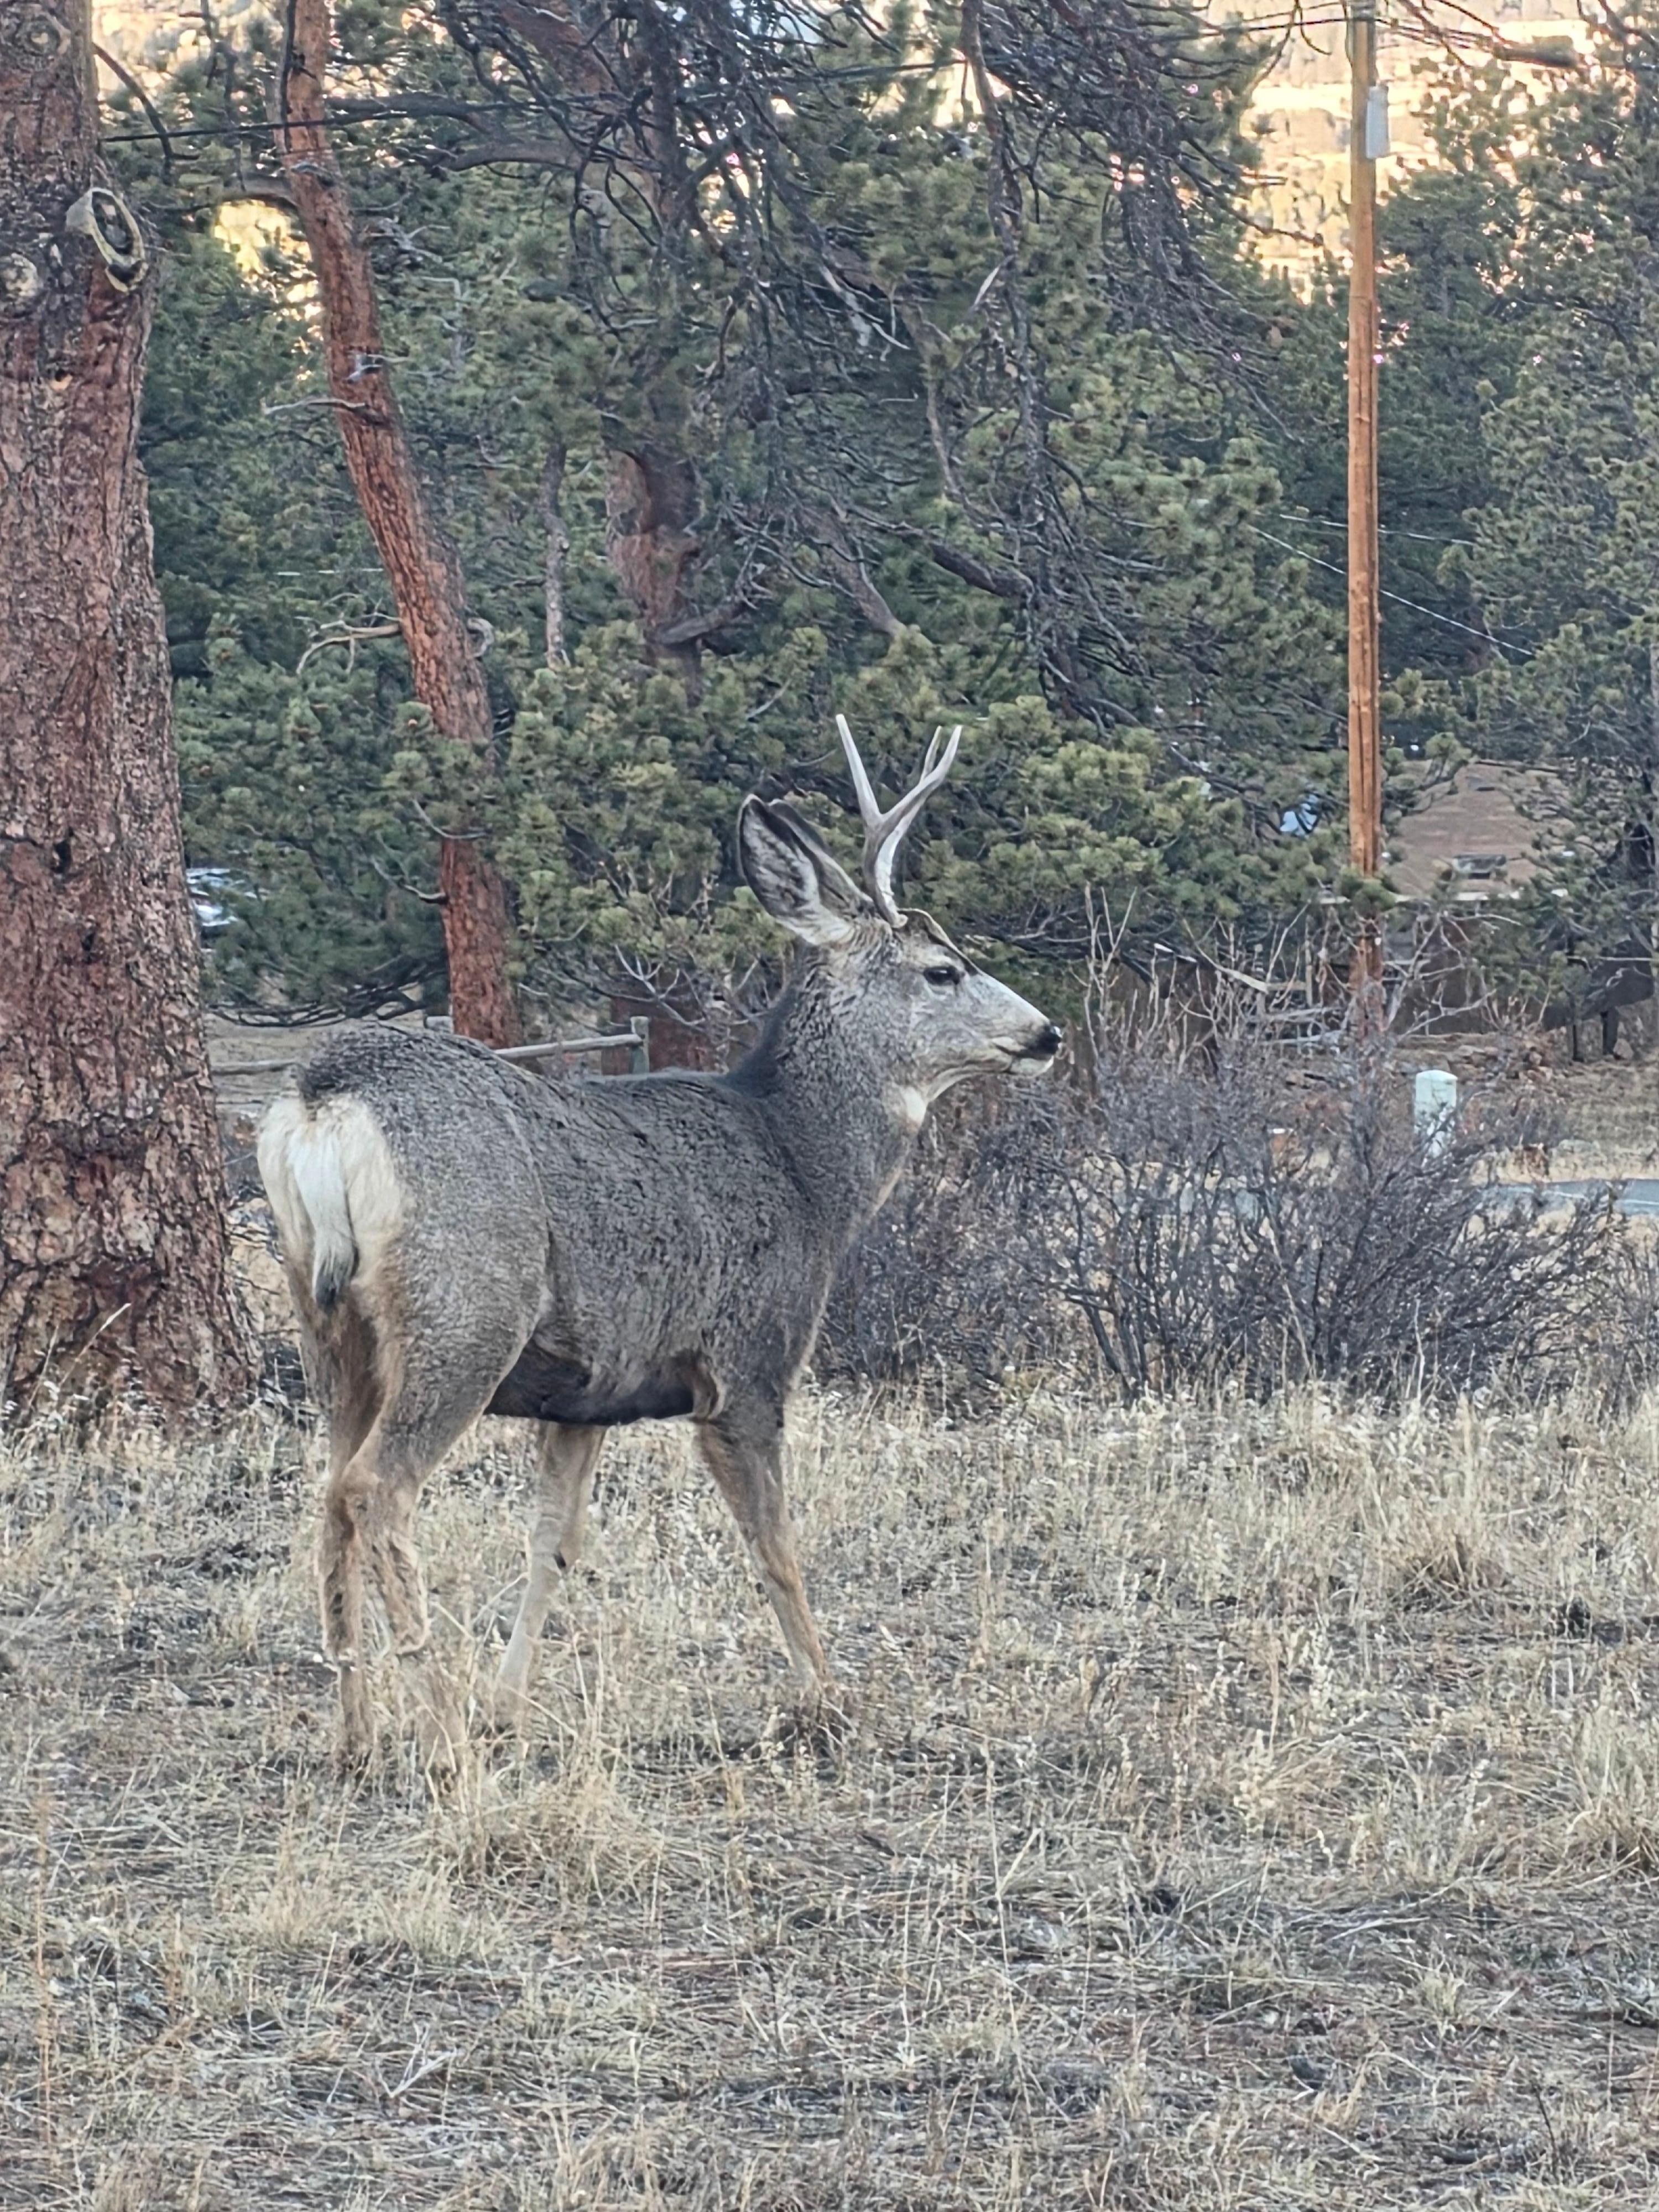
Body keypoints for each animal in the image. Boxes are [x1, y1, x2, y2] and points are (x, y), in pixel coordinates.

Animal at [257, 719, 1060, 1766]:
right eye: (944, 968)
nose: (1046, 1034)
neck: (805, 1166)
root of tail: (322, 1103)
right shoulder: (747, 1363)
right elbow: (776, 1547)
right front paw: (830, 1700)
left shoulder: (588, 1392)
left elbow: (553, 1542)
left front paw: (509, 1706)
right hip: (464, 1311)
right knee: (377, 1489)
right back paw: (442, 1733)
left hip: (328, 1325)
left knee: (327, 1495)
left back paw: (358, 1734)